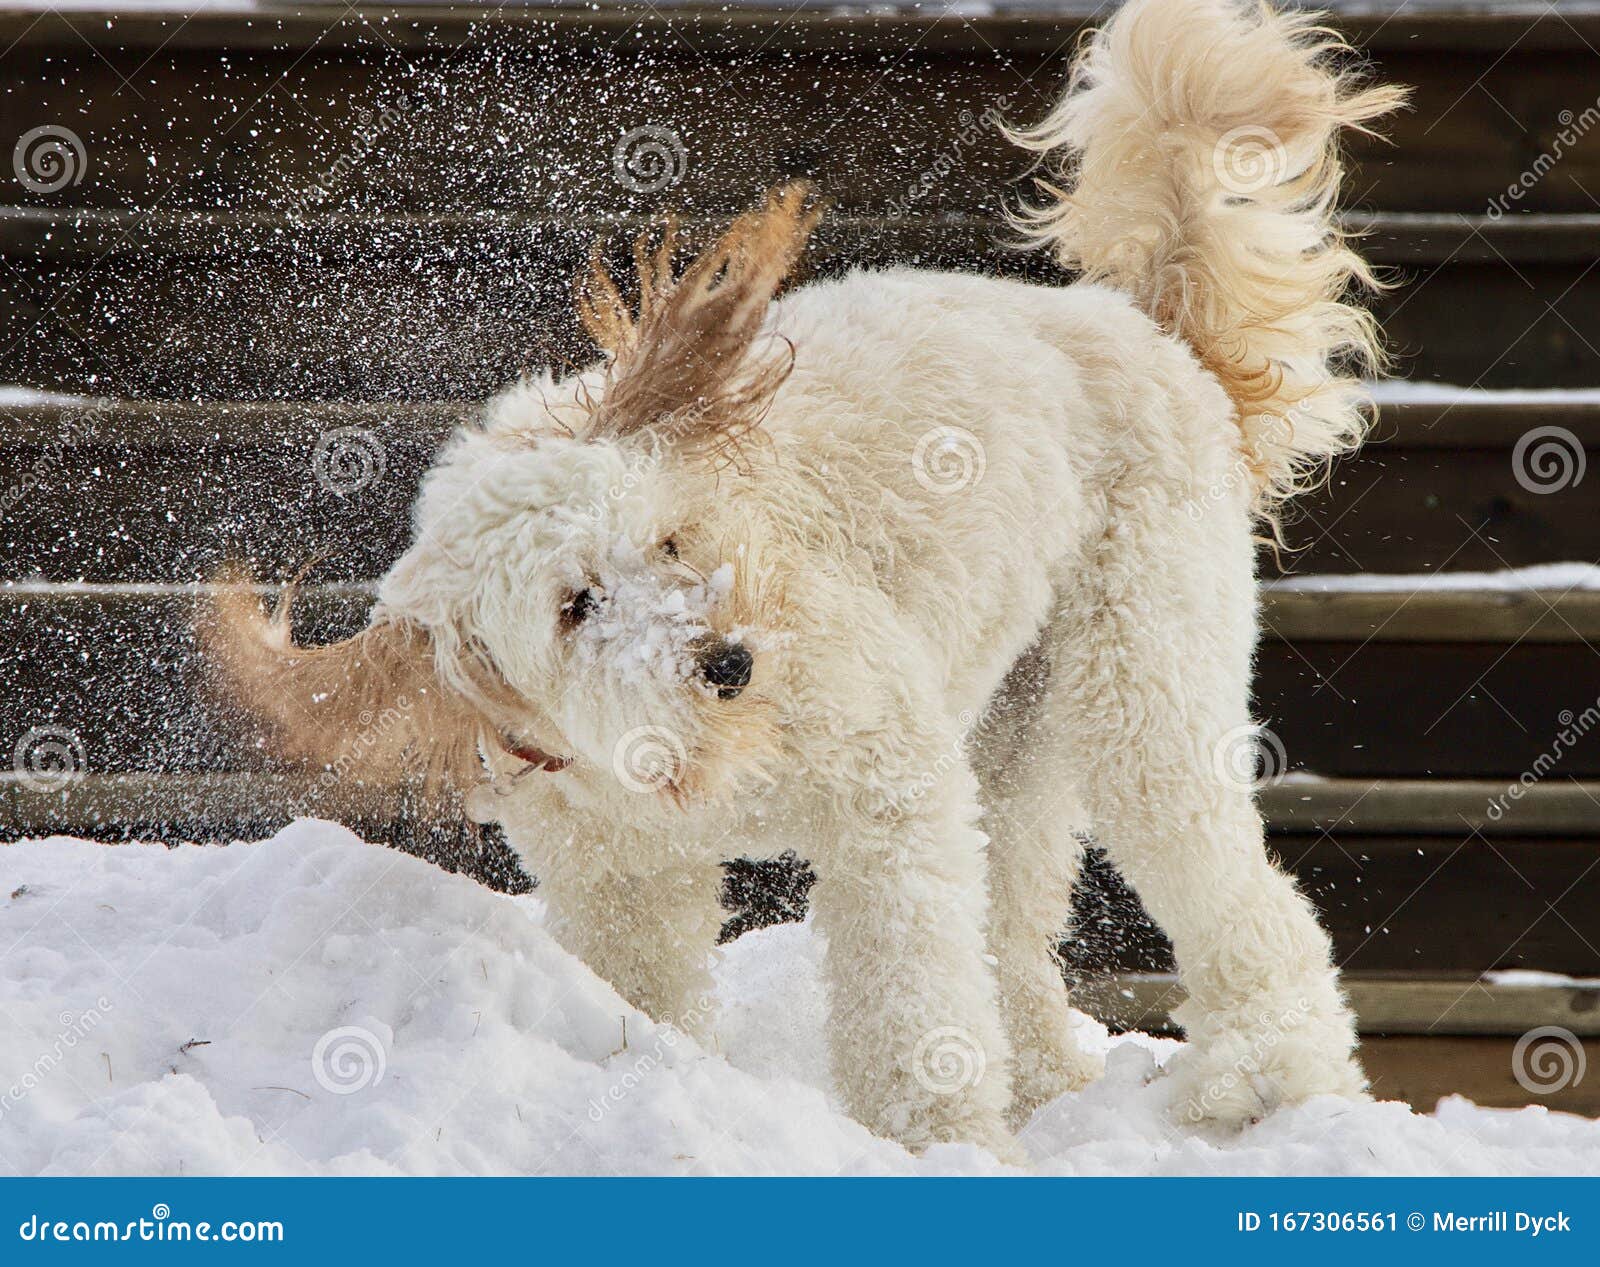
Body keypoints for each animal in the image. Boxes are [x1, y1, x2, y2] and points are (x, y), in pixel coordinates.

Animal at [206, 0, 1408, 1151]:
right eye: (573, 605)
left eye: (673, 539)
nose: (730, 660)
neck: (685, 760)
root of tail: (1142, 323)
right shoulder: (615, 879)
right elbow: (651, 994)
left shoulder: (886, 792)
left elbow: (909, 1001)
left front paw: (934, 1145)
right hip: (1010, 732)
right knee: (1014, 920)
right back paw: (1047, 1092)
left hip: (1141, 676)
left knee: (1235, 887)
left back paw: (1266, 1077)